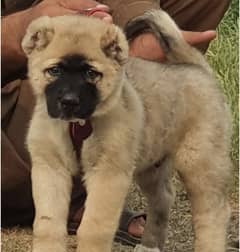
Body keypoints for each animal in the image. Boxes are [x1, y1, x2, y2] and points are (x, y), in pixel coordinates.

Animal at [21, 8, 232, 252]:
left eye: (91, 73)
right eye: (54, 71)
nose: (69, 101)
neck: (78, 125)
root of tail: (197, 67)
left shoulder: (108, 174)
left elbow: (93, 228)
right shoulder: (50, 169)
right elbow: (48, 225)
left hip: (199, 162)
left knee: (212, 213)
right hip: (151, 164)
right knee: (163, 198)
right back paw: (149, 245)